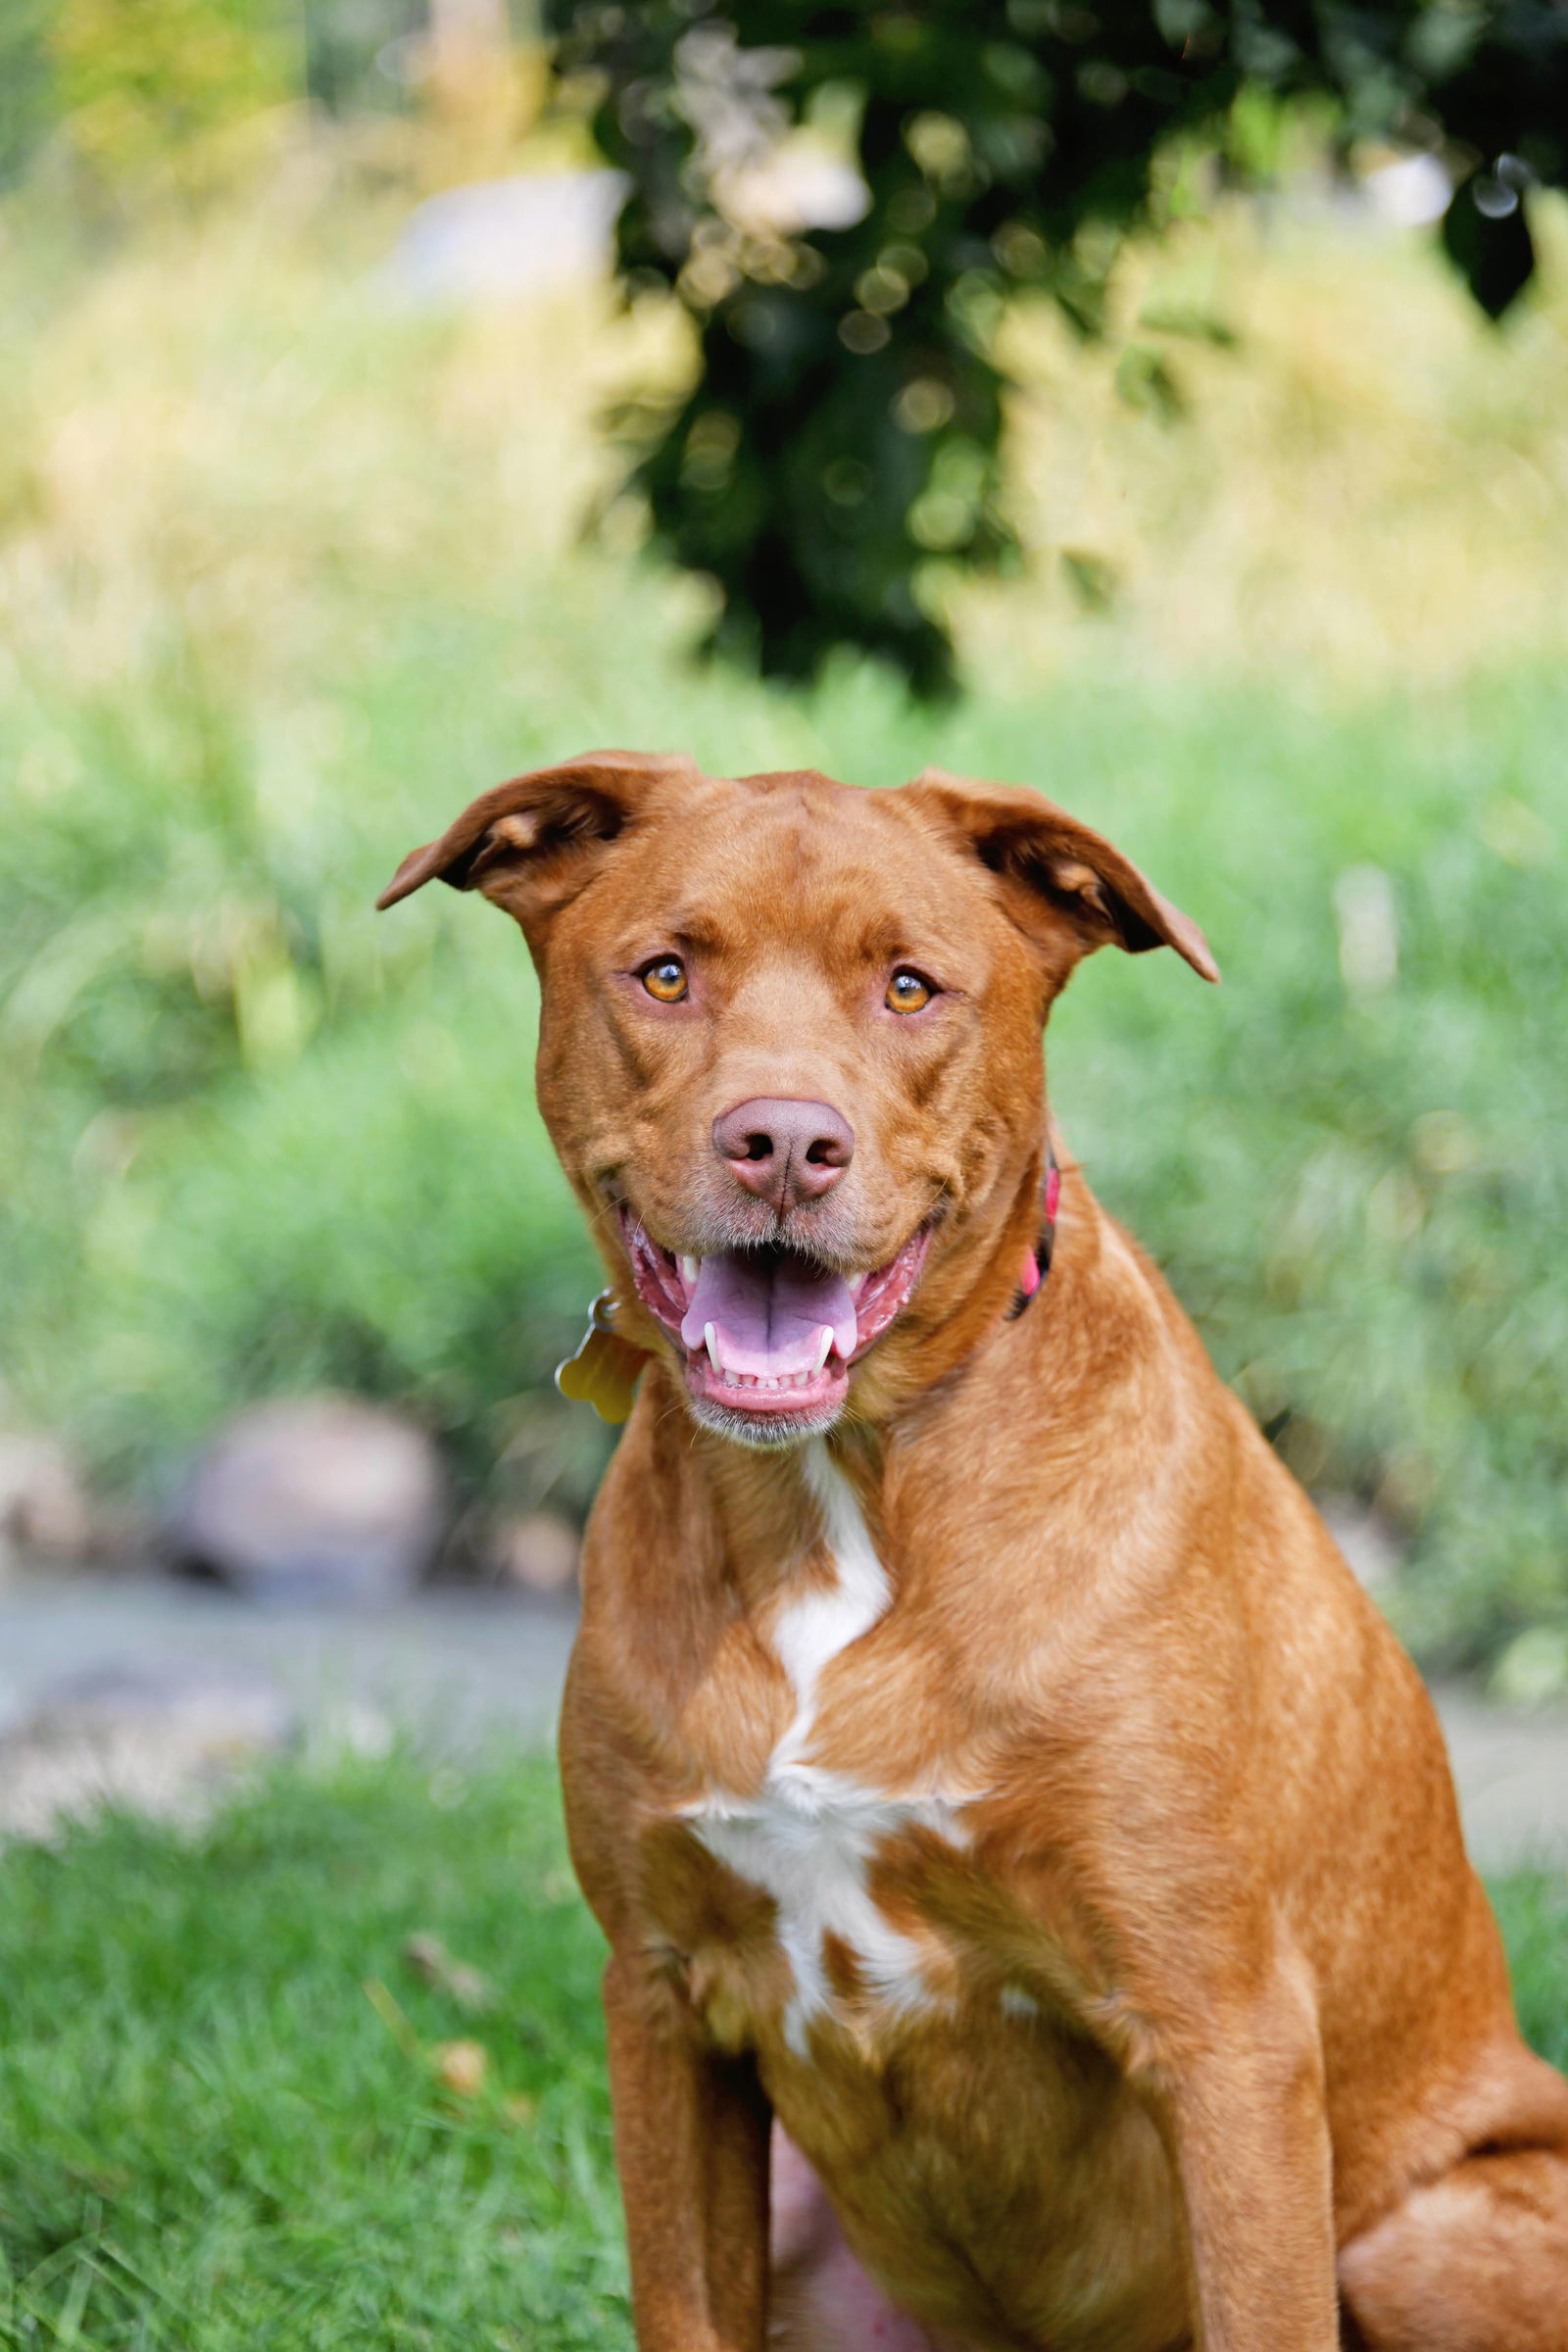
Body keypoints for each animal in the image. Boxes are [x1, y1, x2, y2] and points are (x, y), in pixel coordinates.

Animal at [380, 757, 1568, 2352]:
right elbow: (682, 2302)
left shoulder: (1225, 2032)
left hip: (1426, 2236)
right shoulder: (662, 2004)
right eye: (668, 973)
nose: (783, 1143)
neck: (842, 1495)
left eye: (908, 987)